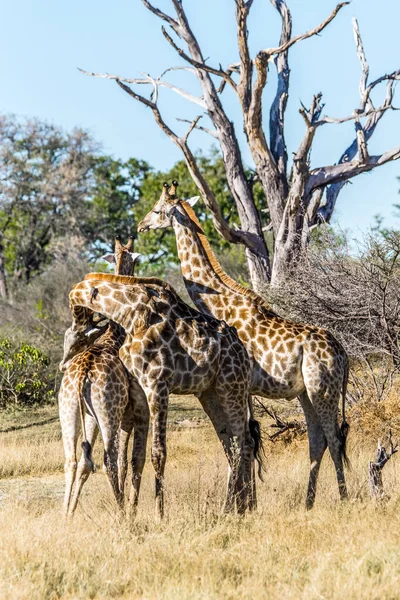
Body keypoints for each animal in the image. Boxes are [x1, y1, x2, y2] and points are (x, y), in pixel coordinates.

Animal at [57, 237, 148, 516]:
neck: (114, 333)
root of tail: (81, 376)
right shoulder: (128, 415)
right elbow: (126, 460)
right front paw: (129, 509)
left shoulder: (93, 416)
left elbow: (86, 464)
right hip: (107, 412)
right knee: (108, 459)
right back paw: (119, 514)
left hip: (69, 410)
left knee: (72, 460)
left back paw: (66, 515)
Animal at [63, 272, 260, 516]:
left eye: (78, 340)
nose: (63, 365)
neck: (129, 314)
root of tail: (245, 353)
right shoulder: (139, 388)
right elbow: (137, 455)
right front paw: (137, 512)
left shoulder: (158, 383)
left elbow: (158, 452)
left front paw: (159, 514)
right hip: (210, 394)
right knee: (233, 444)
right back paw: (238, 507)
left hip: (232, 387)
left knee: (244, 442)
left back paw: (238, 508)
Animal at [138, 182, 350, 506]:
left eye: (157, 209)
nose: (141, 225)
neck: (220, 303)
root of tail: (344, 355)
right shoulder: (244, 387)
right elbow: (247, 438)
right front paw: (248, 502)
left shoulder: (239, 383)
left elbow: (245, 439)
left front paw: (241, 503)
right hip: (306, 393)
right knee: (318, 440)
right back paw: (308, 503)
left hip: (323, 389)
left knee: (335, 438)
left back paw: (344, 499)